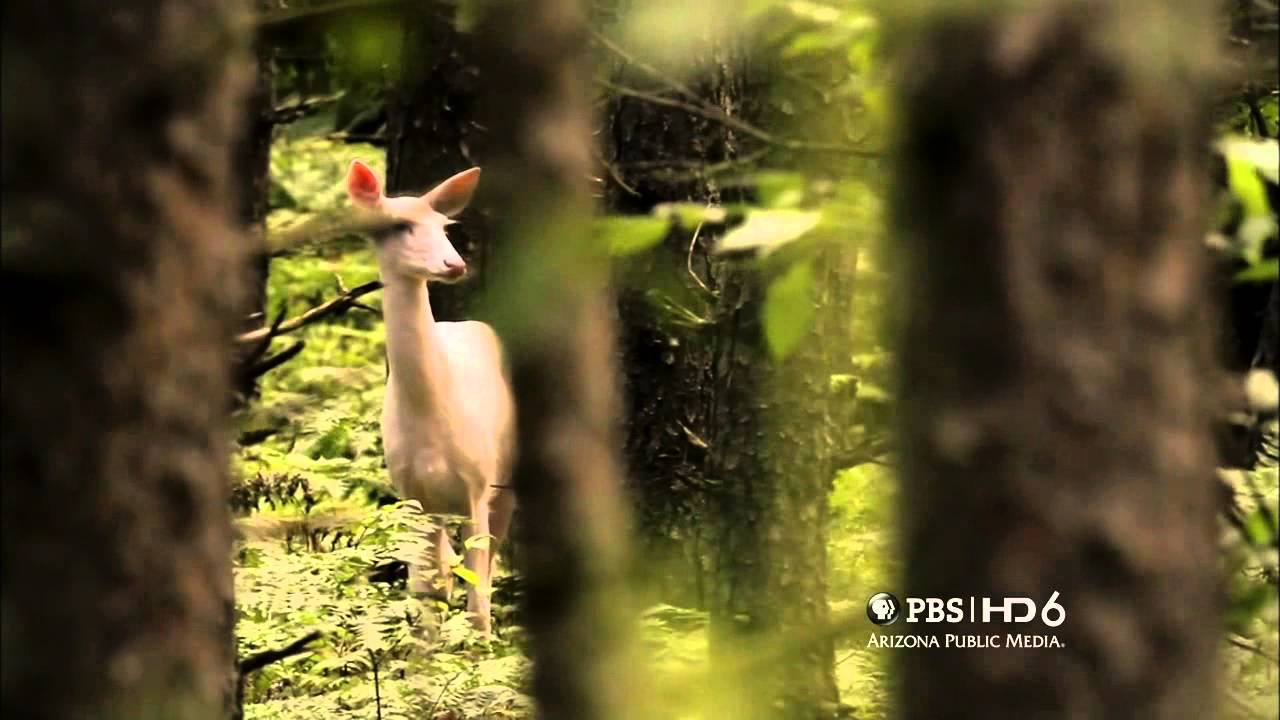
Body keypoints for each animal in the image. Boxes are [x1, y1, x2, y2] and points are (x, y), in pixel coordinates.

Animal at [345, 159, 515, 636]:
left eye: (445, 226)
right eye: (400, 226)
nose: (453, 264)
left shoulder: (477, 480)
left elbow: (478, 596)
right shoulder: (411, 492)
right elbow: (425, 590)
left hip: (504, 475)